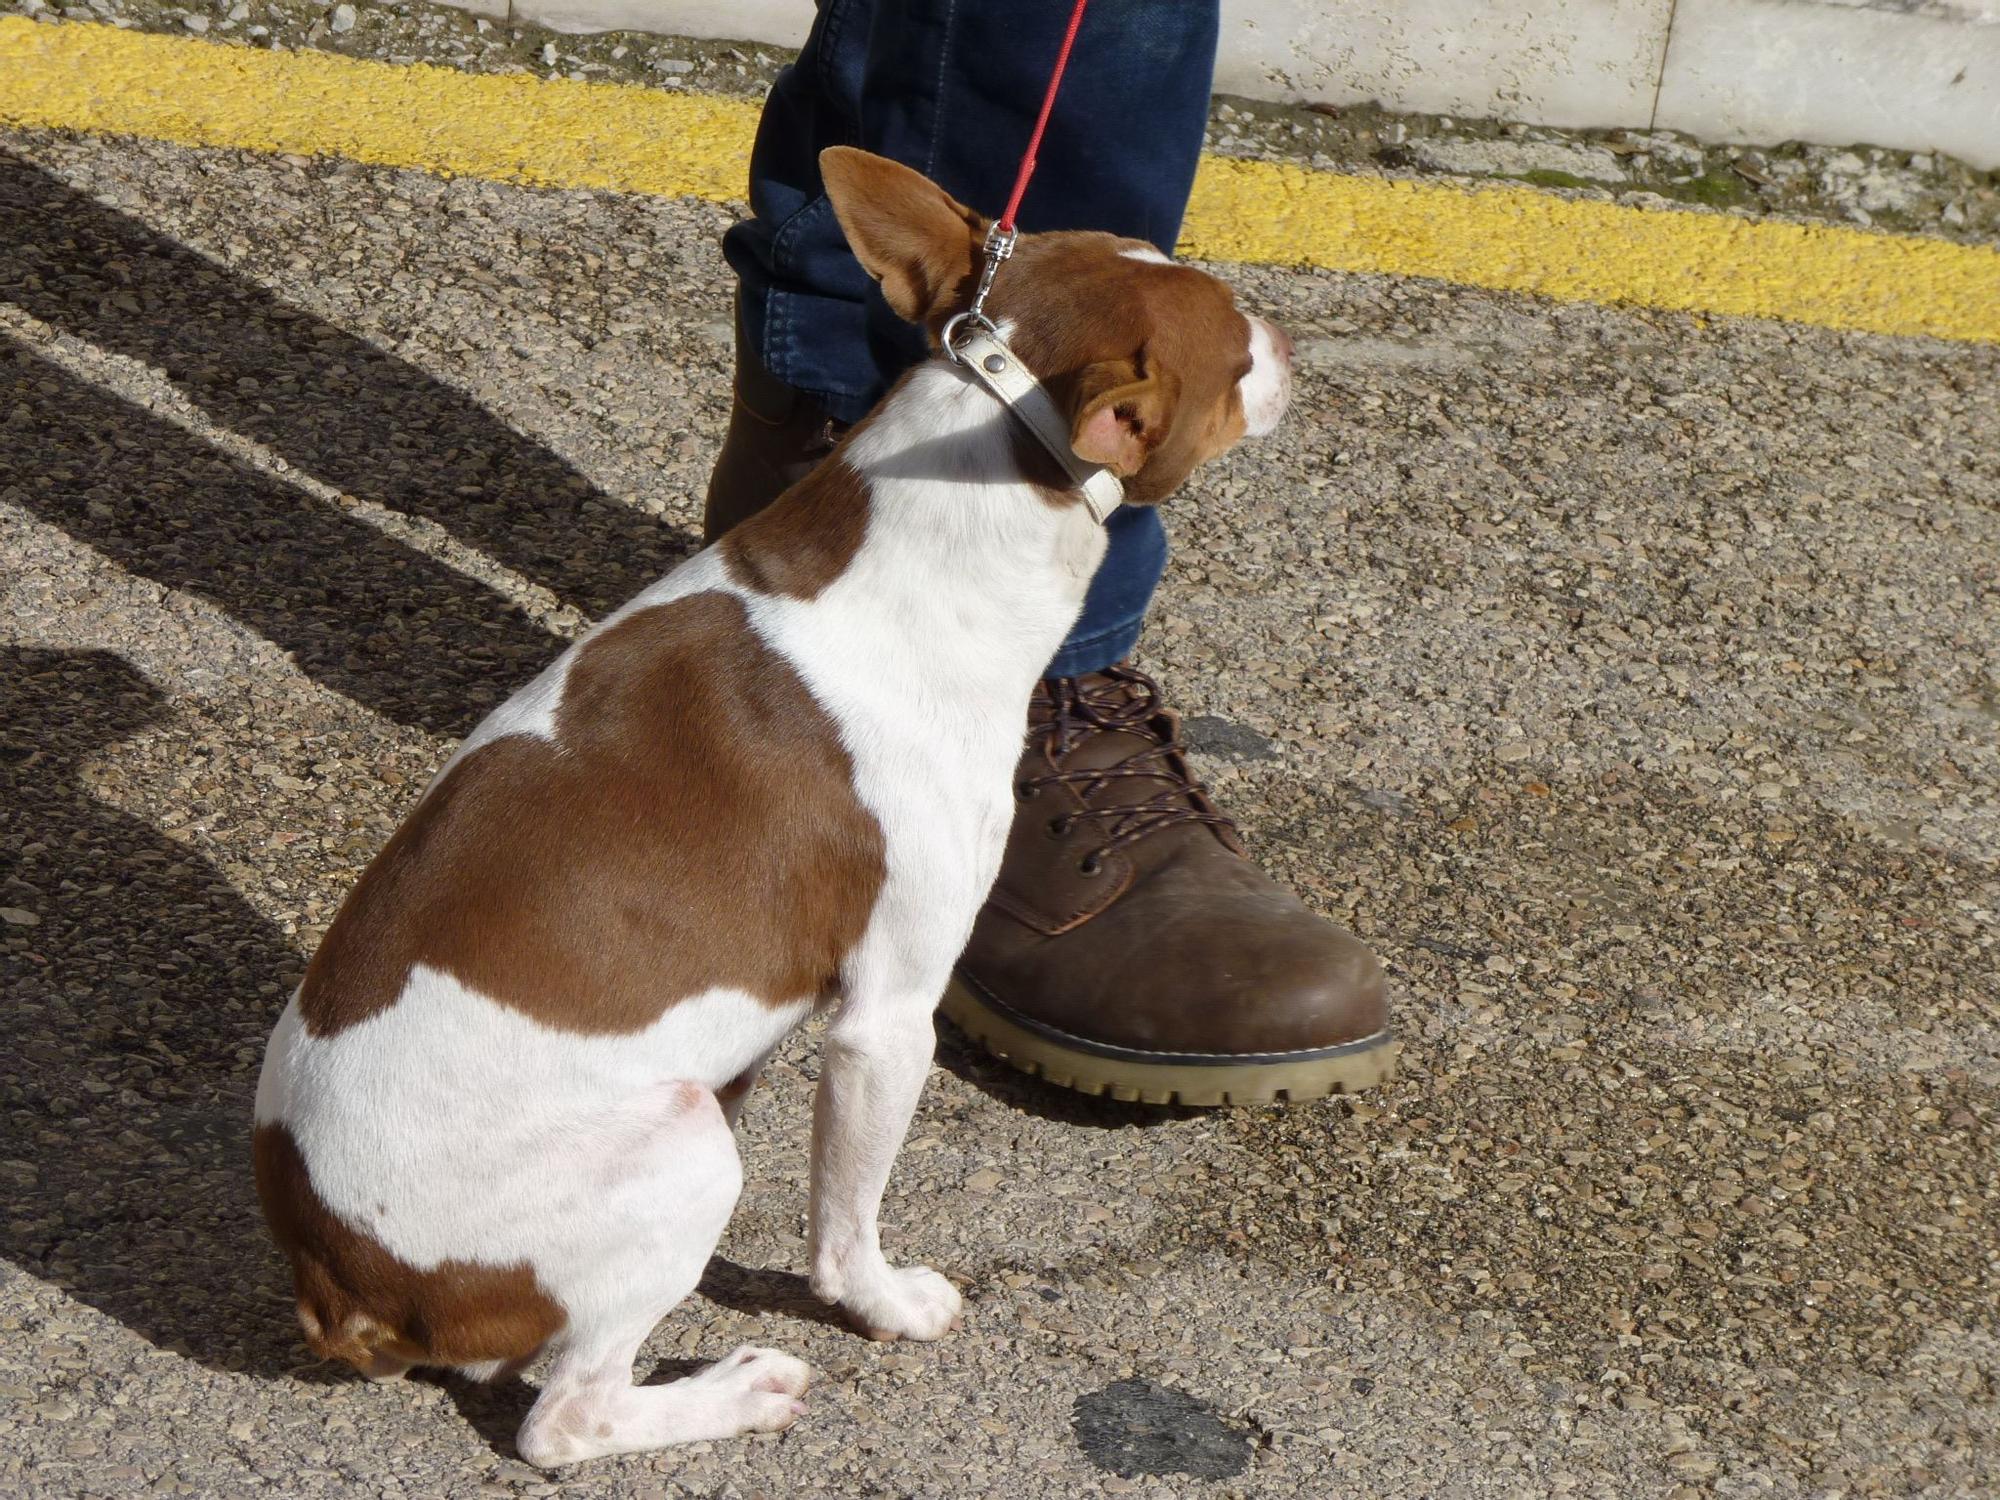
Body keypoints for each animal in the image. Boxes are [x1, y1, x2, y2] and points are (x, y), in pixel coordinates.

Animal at [254, 144, 1296, 1472]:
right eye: (1237, 350)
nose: (1287, 333)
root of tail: (334, 1283)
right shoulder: (886, 1020)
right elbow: (845, 1222)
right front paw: (886, 1304)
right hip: (681, 1148)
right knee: (564, 1417)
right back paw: (737, 1389)